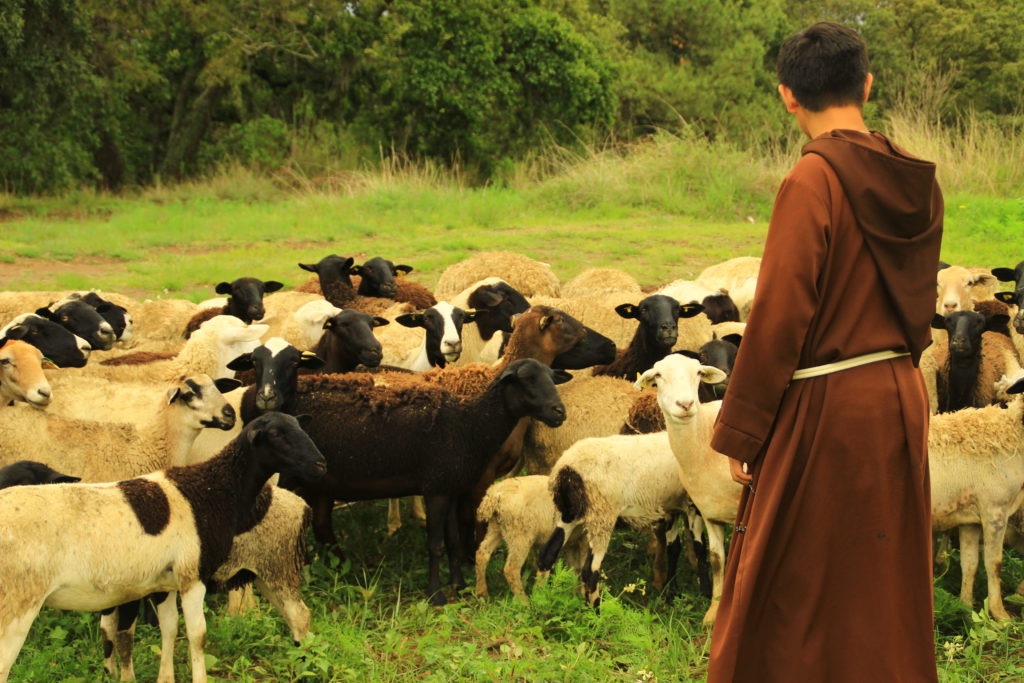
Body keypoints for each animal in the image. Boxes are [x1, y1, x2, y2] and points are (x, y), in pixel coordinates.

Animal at [540, 436, 692, 606]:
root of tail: (566, 468)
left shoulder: (670, 509)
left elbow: (674, 548)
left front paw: (671, 592)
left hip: (569, 514)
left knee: (547, 553)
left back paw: (540, 598)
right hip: (601, 516)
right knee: (590, 573)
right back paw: (595, 611)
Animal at [630, 356, 737, 626]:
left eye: (698, 373)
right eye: (658, 376)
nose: (686, 404)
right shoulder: (709, 511)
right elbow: (717, 559)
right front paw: (713, 612)